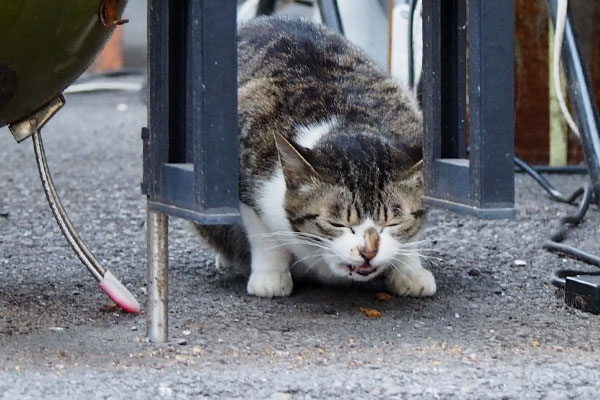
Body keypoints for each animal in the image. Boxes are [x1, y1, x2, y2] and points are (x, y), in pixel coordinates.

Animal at [197, 14, 436, 296]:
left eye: (391, 224)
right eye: (338, 224)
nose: (368, 252)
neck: (345, 121)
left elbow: (413, 233)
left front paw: (409, 270)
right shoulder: (242, 173)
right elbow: (263, 235)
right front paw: (270, 276)